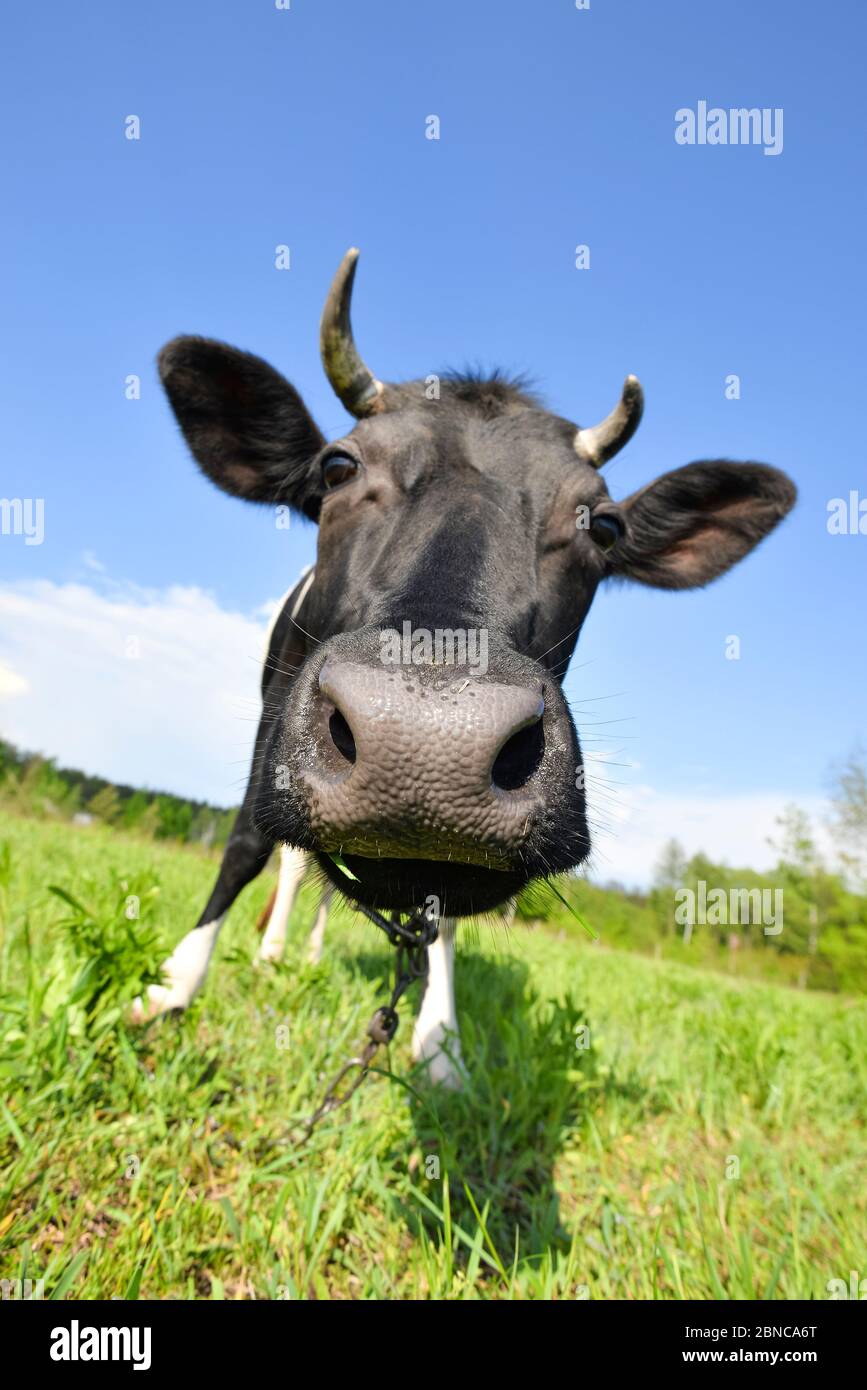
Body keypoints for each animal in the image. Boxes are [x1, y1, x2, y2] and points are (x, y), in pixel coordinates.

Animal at [131, 249, 796, 1087]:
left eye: (603, 527)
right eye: (338, 467)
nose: (425, 741)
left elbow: (440, 919)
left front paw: (440, 1043)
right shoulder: (271, 722)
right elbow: (249, 841)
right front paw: (173, 984)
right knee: (287, 859)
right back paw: (274, 951)